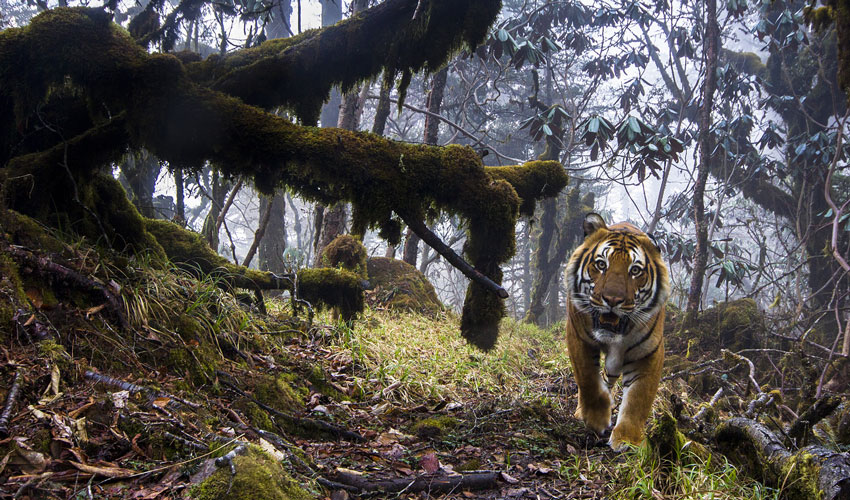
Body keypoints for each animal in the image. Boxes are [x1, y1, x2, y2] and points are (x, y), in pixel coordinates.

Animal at [564, 211, 668, 450]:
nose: (612, 299)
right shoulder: (578, 337)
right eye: (601, 264)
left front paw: (628, 439)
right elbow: (588, 380)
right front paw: (595, 419)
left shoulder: (649, 352)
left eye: (635, 270)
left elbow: (639, 398)